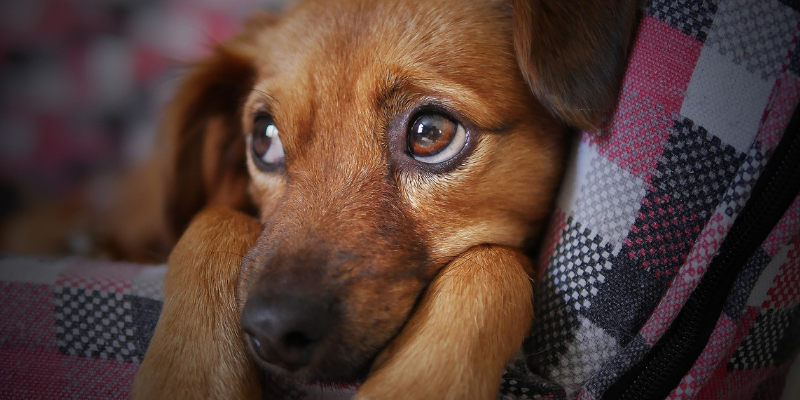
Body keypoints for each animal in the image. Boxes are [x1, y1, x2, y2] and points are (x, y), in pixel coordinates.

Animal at [130, 0, 636, 398]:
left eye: (430, 133)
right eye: (264, 138)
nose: (272, 330)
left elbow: (491, 264)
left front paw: (414, 383)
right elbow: (214, 218)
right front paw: (188, 375)